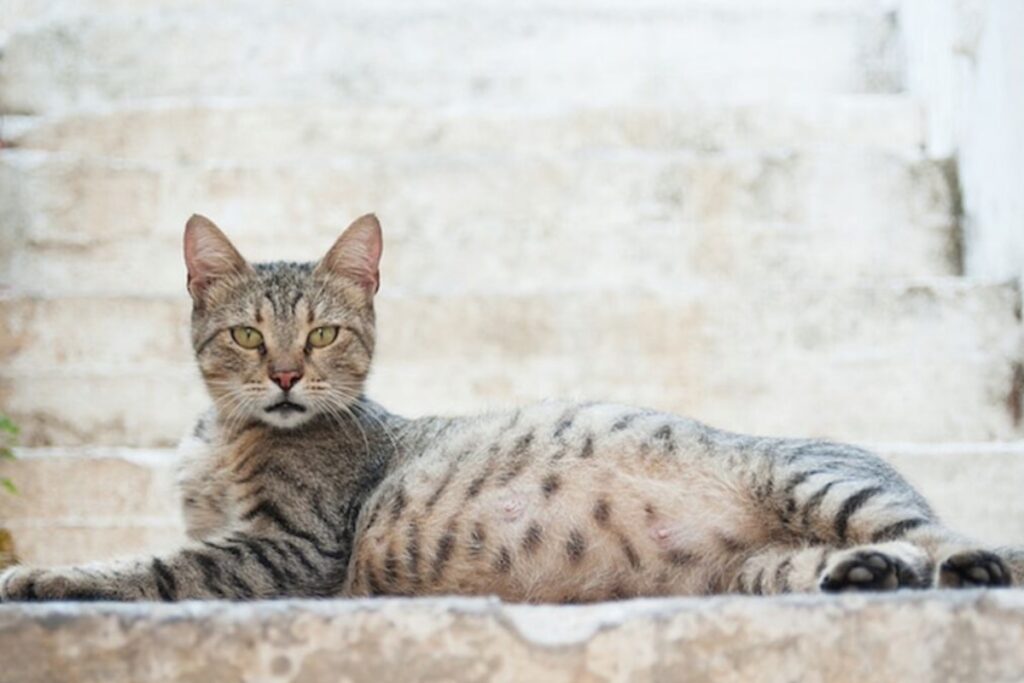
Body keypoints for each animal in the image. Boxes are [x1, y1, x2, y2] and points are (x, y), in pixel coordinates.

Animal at [0, 215, 1015, 602]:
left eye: (323, 334)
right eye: (249, 335)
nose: (285, 375)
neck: (224, 438)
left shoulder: (292, 545)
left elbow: (158, 565)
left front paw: (43, 576)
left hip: (820, 481)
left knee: (953, 537)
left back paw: (964, 563)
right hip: (763, 568)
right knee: (847, 564)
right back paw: (867, 574)